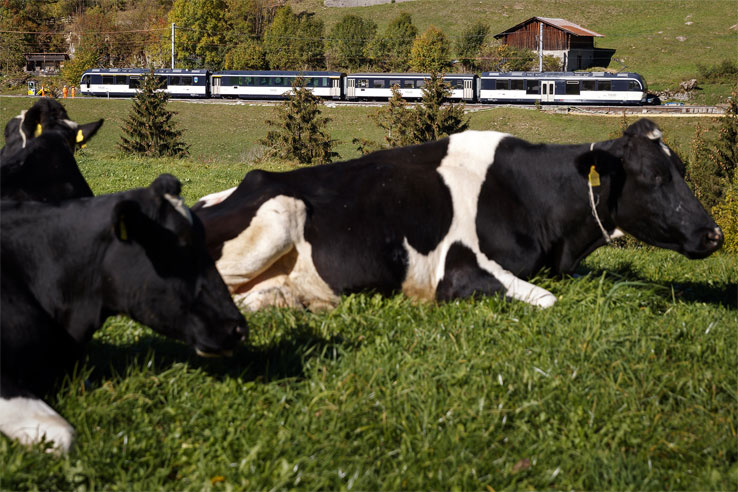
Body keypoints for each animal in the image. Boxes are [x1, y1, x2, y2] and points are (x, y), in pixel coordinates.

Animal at [192, 119, 723, 312]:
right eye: (654, 176)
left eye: (681, 169)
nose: (713, 234)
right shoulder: (459, 269)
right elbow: (548, 299)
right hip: (277, 216)